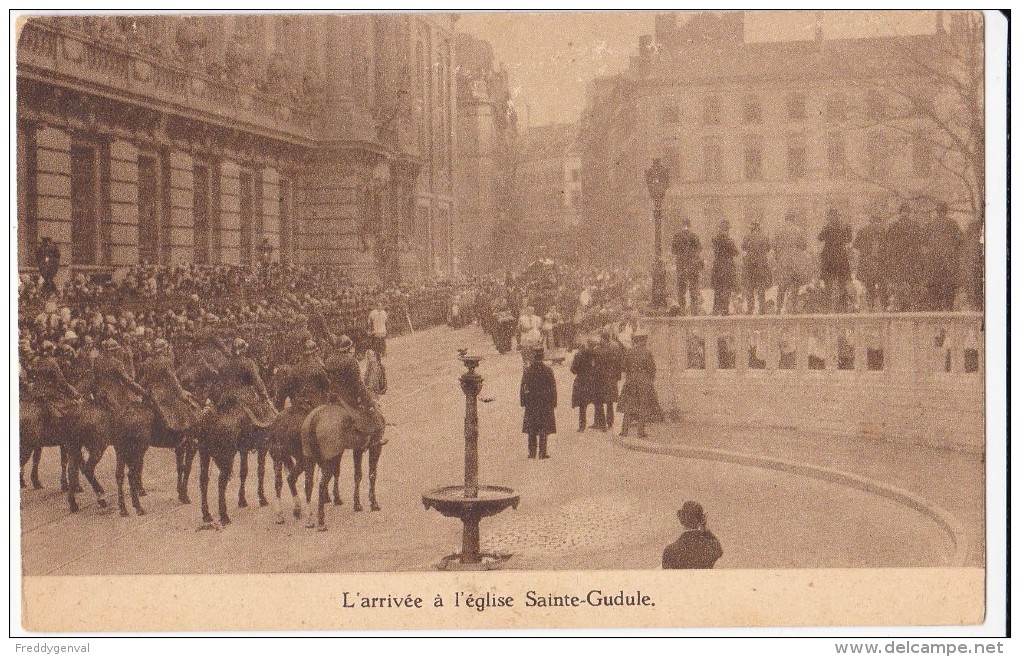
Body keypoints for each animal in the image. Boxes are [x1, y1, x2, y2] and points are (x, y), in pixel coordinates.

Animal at [299, 401, 387, 530]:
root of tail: (315, 418)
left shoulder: (357, 449)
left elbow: (357, 475)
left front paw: (357, 504)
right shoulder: (375, 447)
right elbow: (372, 474)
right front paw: (374, 504)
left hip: (309, 458)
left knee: (309, 484)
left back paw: (309, 521)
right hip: (329, 460)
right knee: (322, 485)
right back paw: (321, 522)